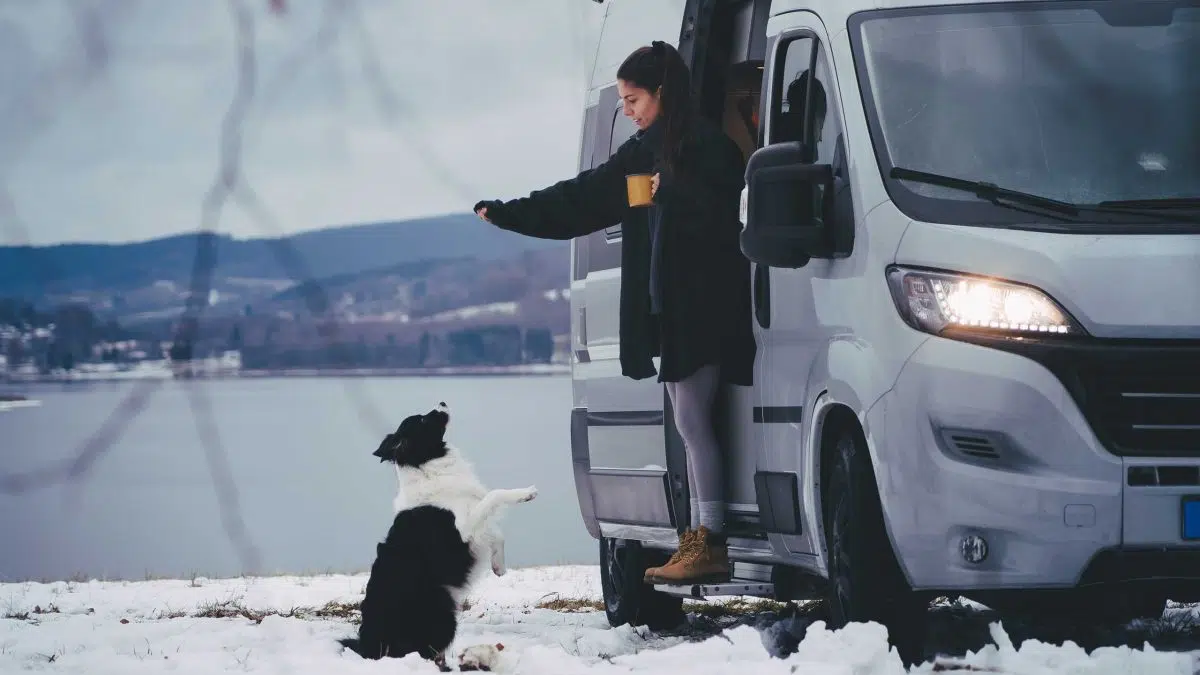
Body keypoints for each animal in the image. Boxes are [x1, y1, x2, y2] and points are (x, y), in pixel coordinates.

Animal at [343, 401, 540, 662]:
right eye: (422, 420)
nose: (443, 402)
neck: (427, 468)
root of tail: (369, 645)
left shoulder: (475, 526)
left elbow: (497, 534)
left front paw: (499, 566)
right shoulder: (463, 531)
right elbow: (494, 495)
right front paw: (525, 493)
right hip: (443, 617)